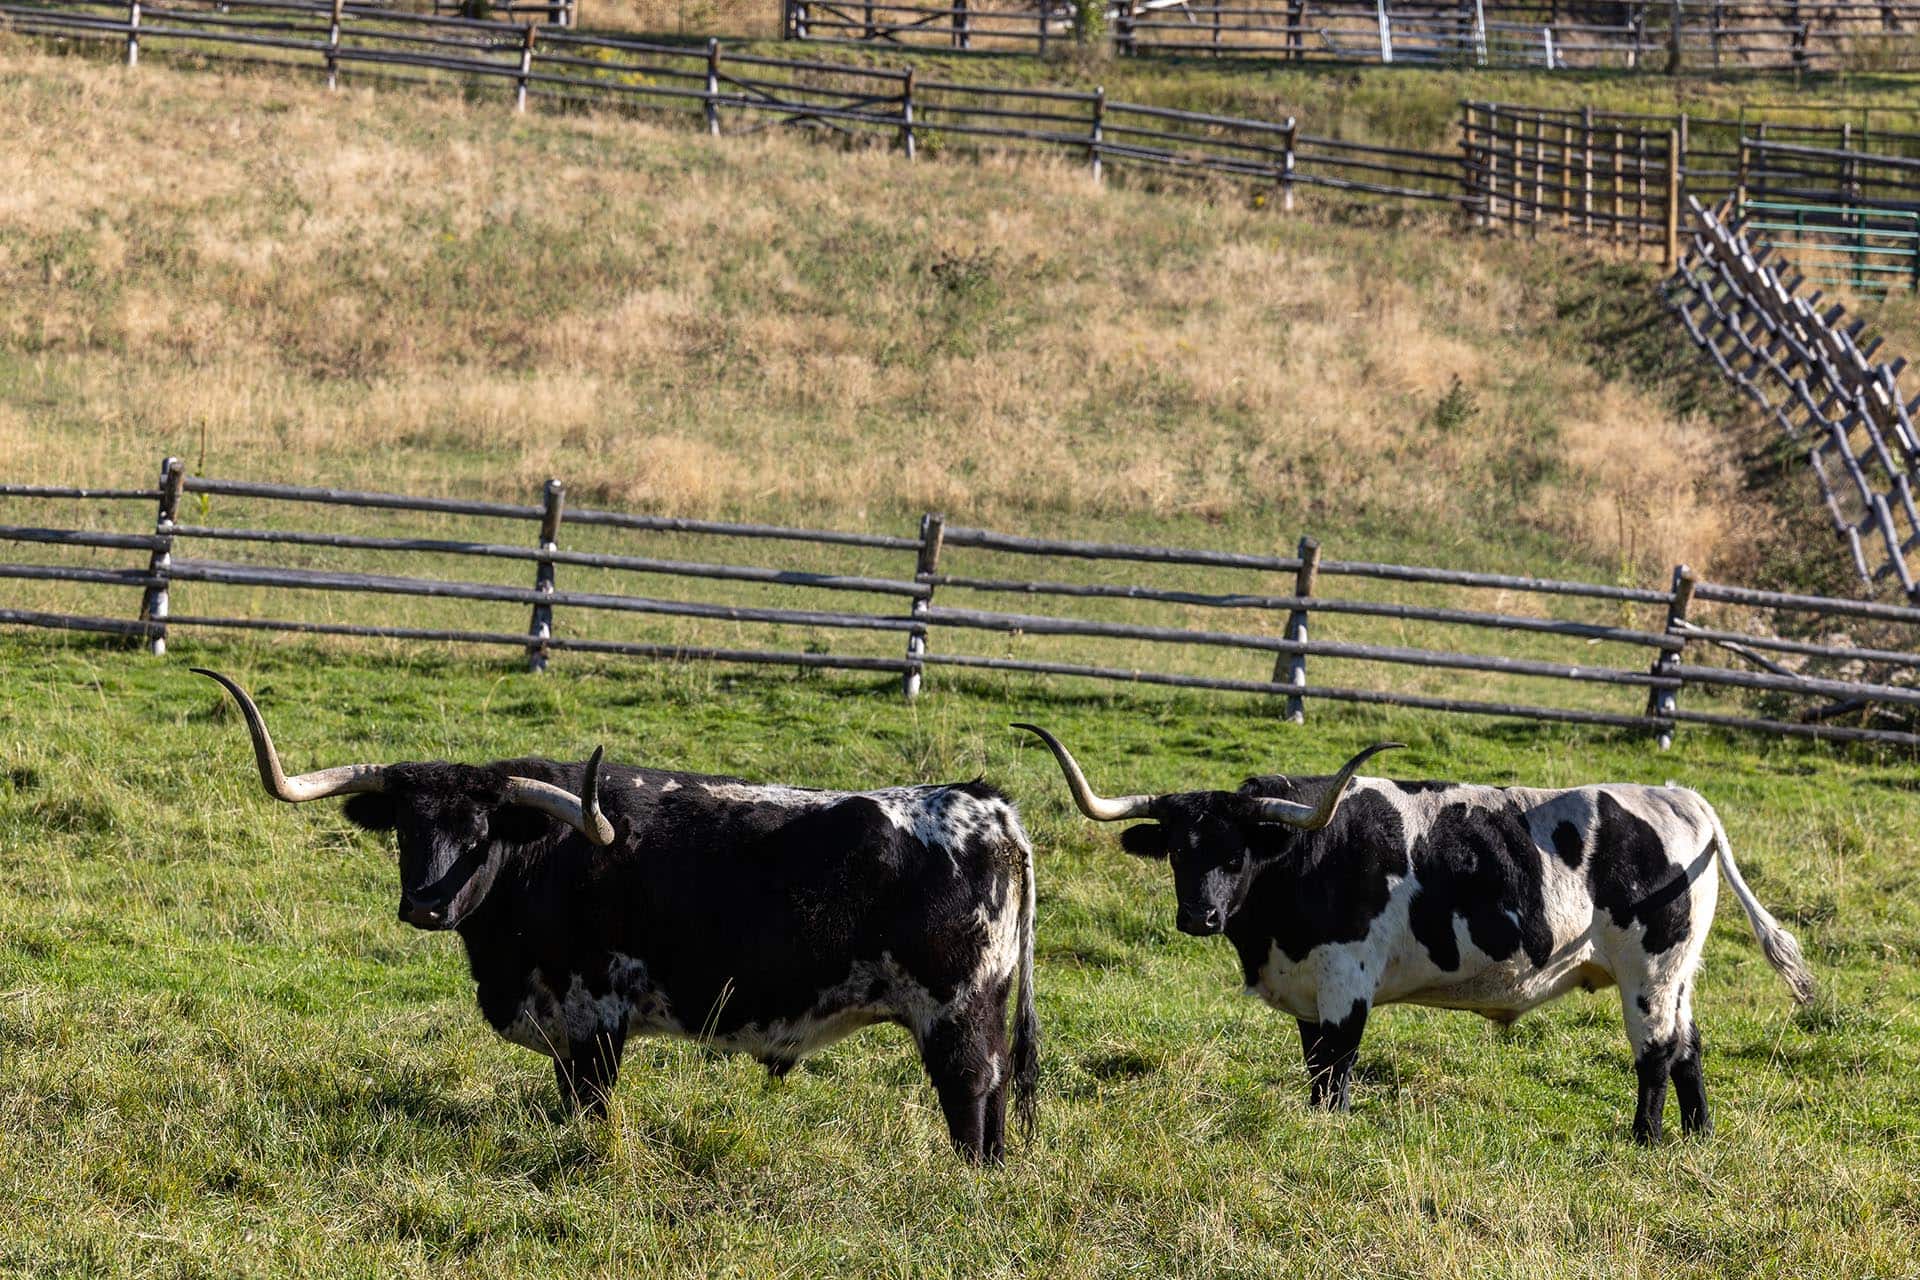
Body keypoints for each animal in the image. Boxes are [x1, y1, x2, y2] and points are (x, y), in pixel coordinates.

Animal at [194, 670, 1038, 1164]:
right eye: (406, 826)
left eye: (481, 831)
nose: (426, 903)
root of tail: (988, 806)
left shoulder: (595, 1017)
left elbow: (592, 1111)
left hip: (954, 1013)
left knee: (971, 1093)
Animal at [1014, 724, 1814, 1143]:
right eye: (1180, 851)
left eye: (1237, 855)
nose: (1198, 917)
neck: (1306, 857)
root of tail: (1682, 798)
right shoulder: (1308, 994)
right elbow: (1313, 1070)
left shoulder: (1345, 986)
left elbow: (1335, 1075)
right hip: (1679, 972)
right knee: (1689, 1048)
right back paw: (1695, 1137)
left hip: (1649, 971)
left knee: (1654, 1054)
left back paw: (1644, 1140)